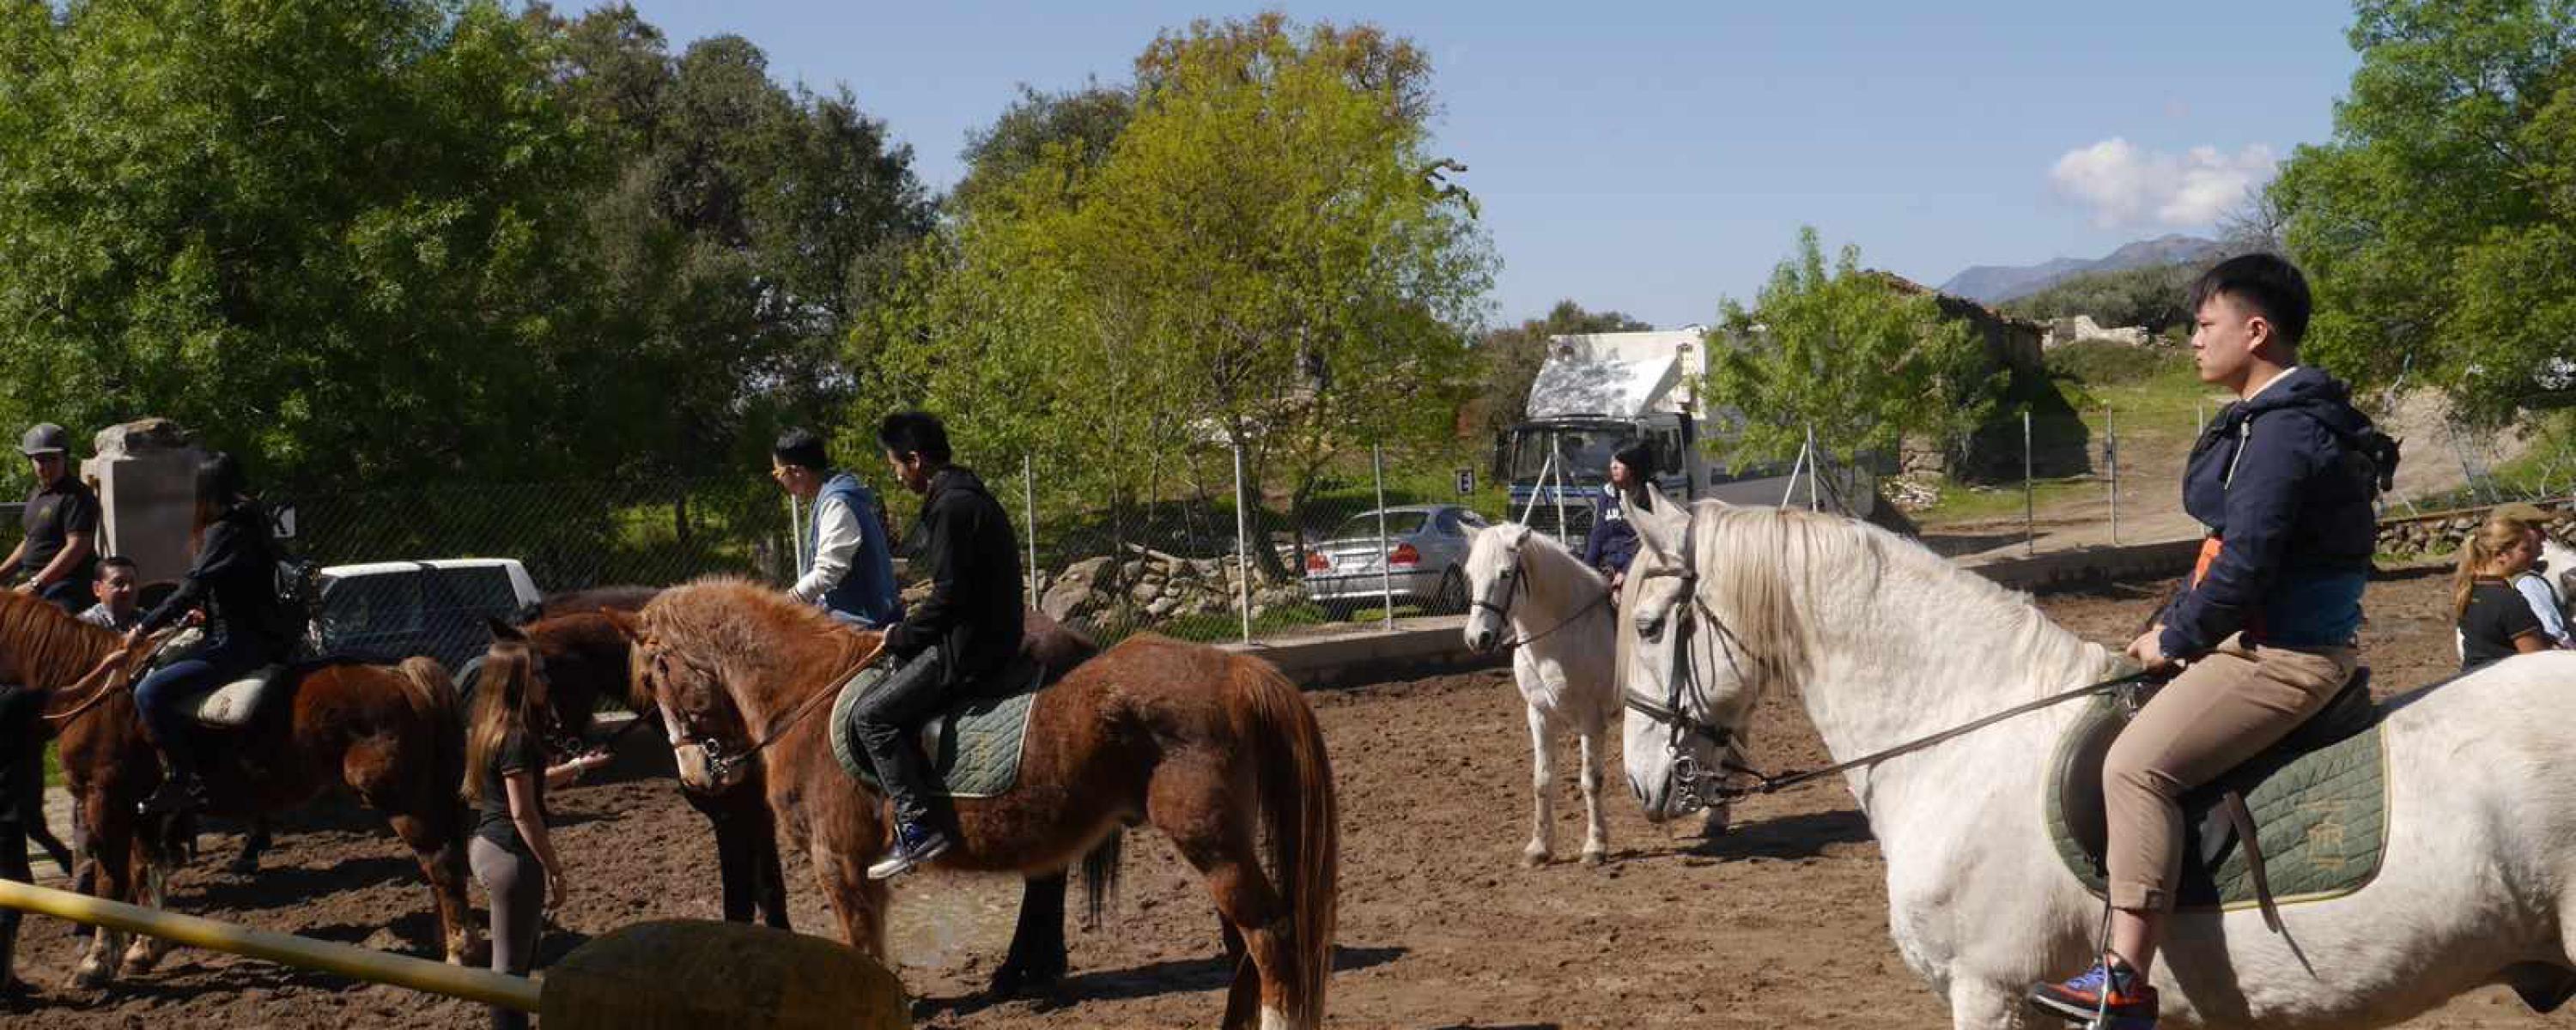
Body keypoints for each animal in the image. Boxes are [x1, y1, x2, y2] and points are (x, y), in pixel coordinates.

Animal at [0, 589, 476, 987]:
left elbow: (108, 880)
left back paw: (459, 955)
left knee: (441, 862)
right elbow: (144, 872)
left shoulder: (106, 799)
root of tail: (404, 676)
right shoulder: (145, 807)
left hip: (401, 799)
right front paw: (142, 951)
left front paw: (95, 964)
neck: (91, 688)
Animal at [492, 602, 1112, 993]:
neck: (797, 694)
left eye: (538, 682)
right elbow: (769, 889)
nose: (697, 774)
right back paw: (1035, 968)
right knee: (1048, 877)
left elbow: (747, 895)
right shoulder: (755, 819)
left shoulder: (754, 824)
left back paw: (1019, 971)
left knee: (1044, 880)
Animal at [609, 579, 1339, 1030]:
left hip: (1212, 844)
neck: (808, 695)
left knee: (1268, 935)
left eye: (659, 671)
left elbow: (862, 945)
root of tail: (1236, 668)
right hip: (1216, 845)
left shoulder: (838, 862)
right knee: (1242, 943)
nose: (696, 773)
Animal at [1458, 523, 1622, 866]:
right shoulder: (1539, 714)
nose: (1477, 638)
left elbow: (1591, 781)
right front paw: (1539, 847)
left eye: (1505, 573)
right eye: (1470, 573)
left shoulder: (1591, 719)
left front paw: (1595, 846)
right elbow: (1542, 780)